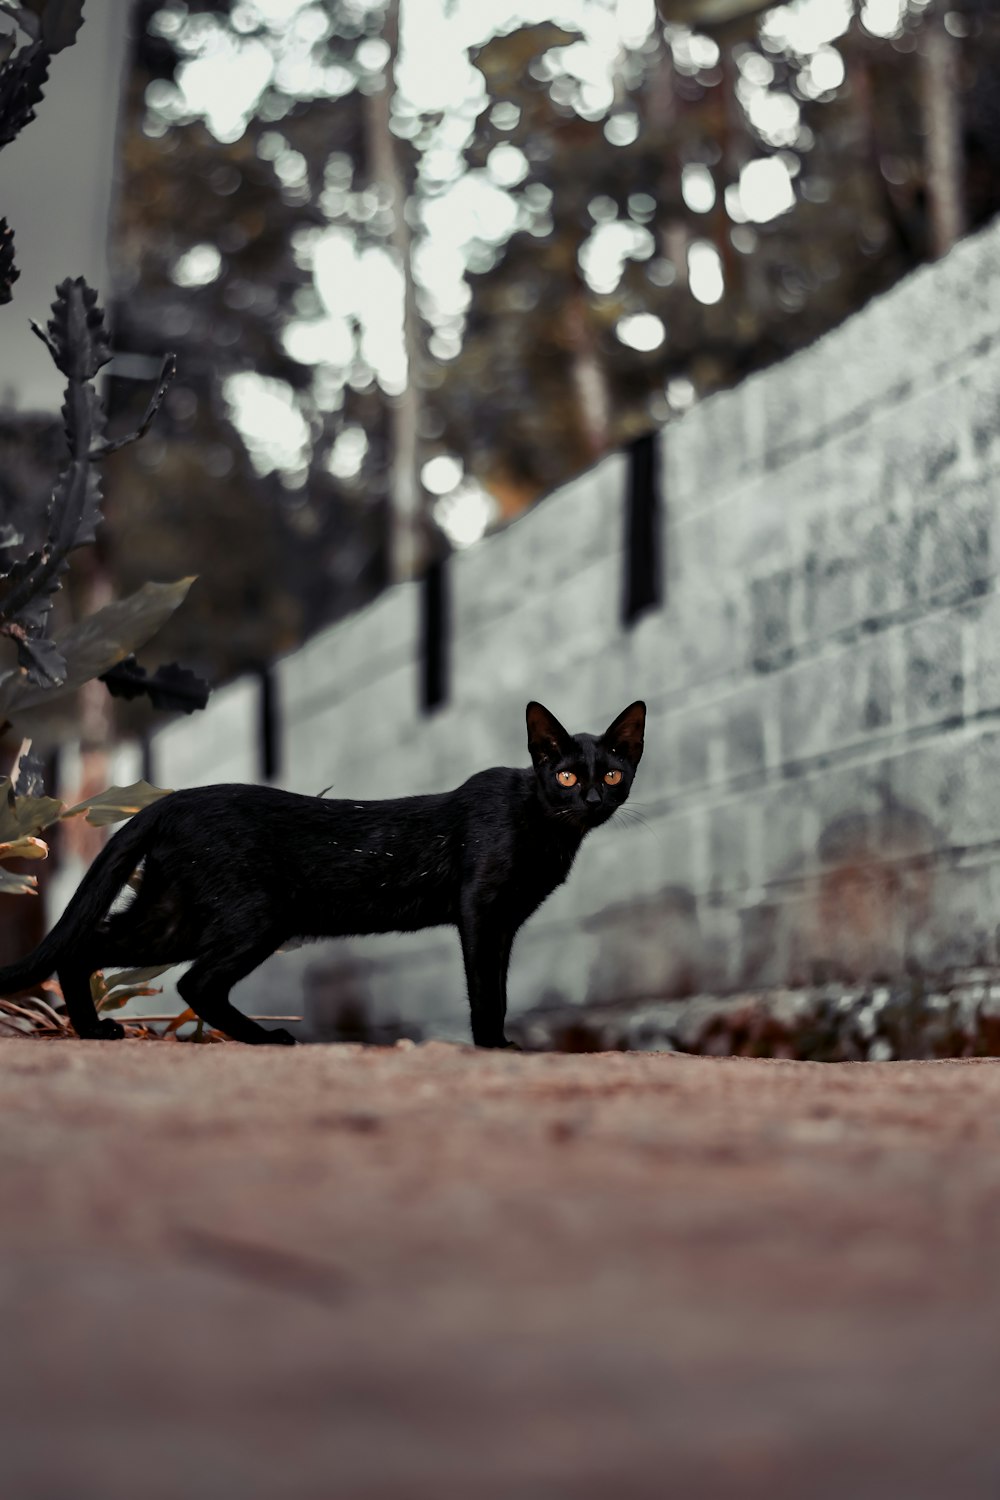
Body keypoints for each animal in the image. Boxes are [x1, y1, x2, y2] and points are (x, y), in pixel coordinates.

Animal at [0, 699, 644, 1044]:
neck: (547, 826)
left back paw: (93, 1031)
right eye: (565, 775)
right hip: (257, 915)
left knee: (88, 948)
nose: (591, 798)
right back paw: (265, 1038)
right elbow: (488, 989)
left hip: (173, 913)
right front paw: (493, 1046)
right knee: (193, 982)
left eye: (612, 774)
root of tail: (170, 802)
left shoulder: (503, 922)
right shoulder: (483, 912)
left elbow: (500, 988)